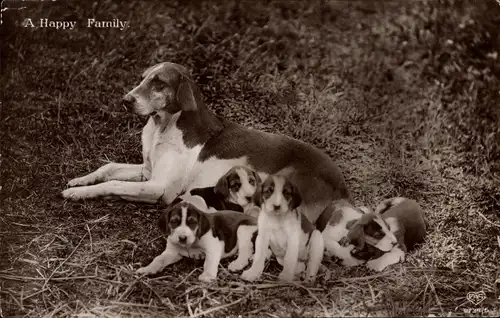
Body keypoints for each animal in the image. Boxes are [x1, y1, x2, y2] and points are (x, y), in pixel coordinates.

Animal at [62, 62, 350, 225]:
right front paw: (80, 180)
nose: (125, 100)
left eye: (159, 82)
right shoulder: (147, 171)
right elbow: (108, 168)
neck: (162, 127)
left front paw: (79, 193)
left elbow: (113, 184)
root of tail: (343, 188)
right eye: (143, 78)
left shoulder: (159, 188)